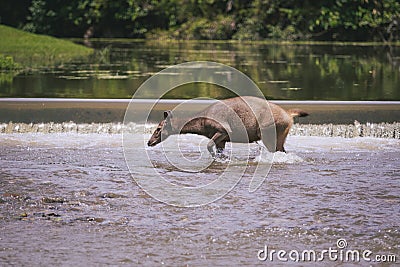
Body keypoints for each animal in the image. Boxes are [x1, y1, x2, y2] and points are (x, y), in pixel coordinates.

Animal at [148, 96, 308, 157]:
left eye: (158, 128)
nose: (149, 142)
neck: (202, 126)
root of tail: (289, 116)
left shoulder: (223, 130)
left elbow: (208, 145)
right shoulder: (223, 140)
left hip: (270, 134)